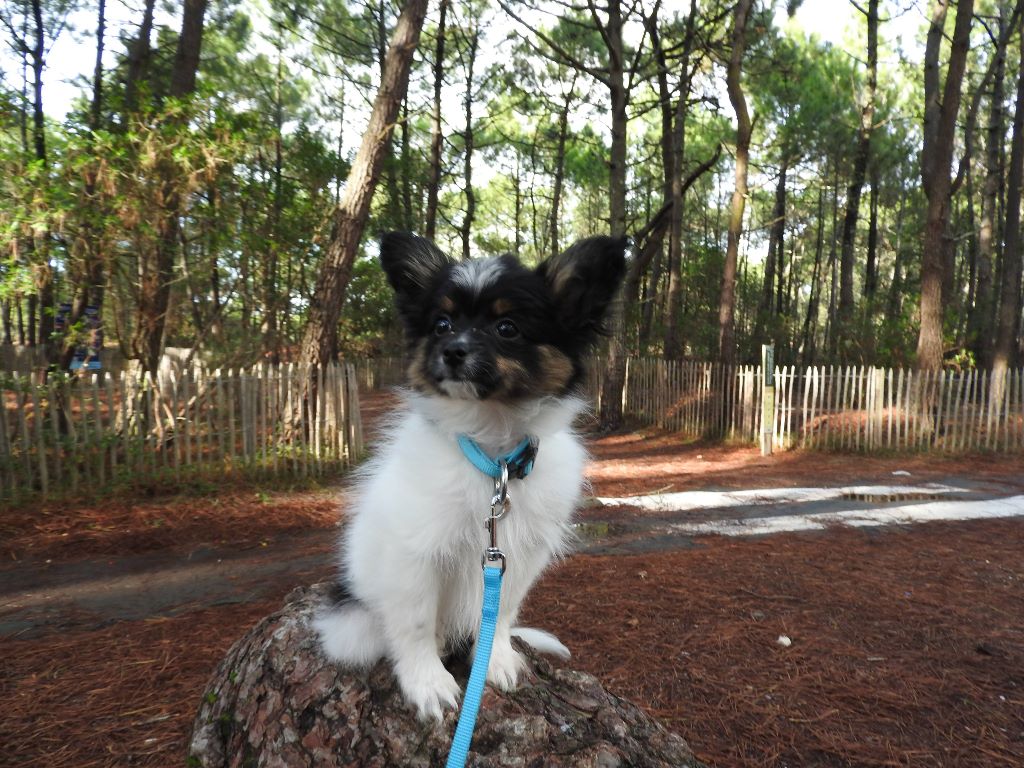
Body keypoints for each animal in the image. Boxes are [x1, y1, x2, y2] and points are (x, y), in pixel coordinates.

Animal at [315, 233, 626, 720]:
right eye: (441, 324)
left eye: (507, 328)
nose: (452, 351)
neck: (493, 457)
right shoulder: (414, 551)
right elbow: (415, 622)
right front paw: (426, 682)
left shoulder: (517, 557)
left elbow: (500, 614)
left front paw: (494, 659)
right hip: (352, 623)